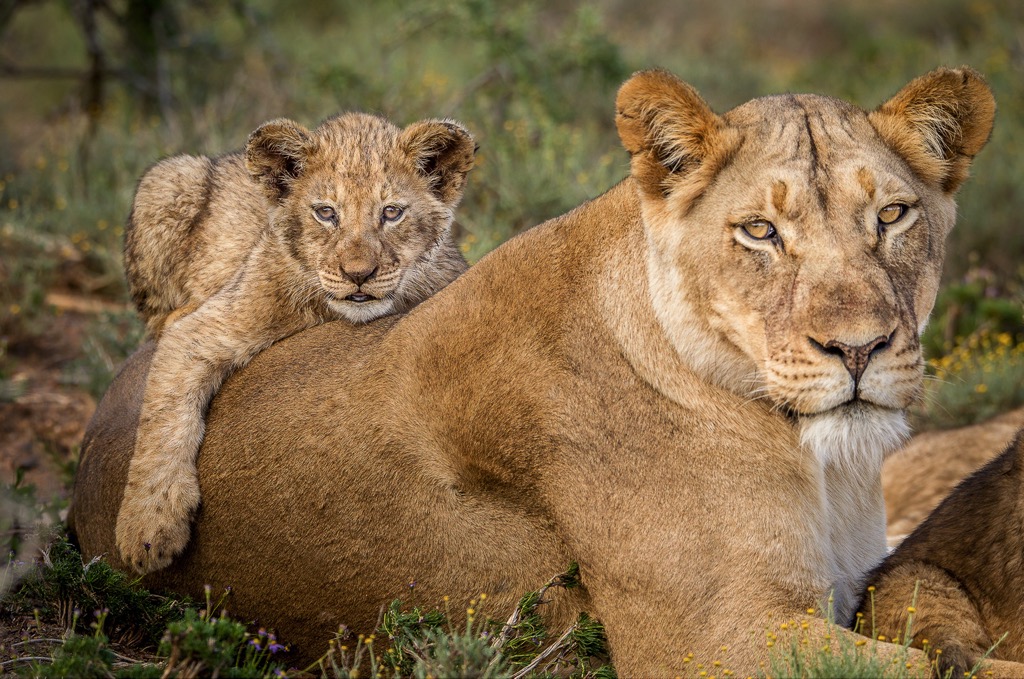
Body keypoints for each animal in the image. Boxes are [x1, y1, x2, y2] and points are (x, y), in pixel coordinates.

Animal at [115, 113, 475, 573]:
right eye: (326, 213)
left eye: (391, 212)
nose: (359, 274)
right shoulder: (205, 329)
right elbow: (164, 420)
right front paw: (147, 529)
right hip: (168, 177)